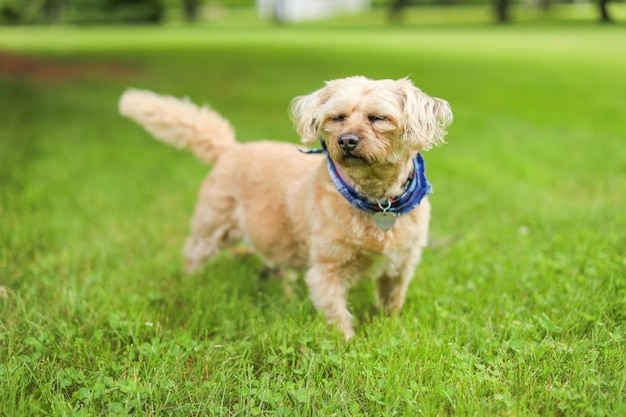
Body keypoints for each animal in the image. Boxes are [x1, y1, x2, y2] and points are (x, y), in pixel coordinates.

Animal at [118, 77, 448, 338]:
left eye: (378, 118)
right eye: (337, 118)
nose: (346, 141)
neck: (376, 201)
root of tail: (230, 149)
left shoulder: (402, 264)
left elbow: (393, 302)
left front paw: (390, 329)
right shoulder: (326, 269)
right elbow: (337, 313)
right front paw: (346, 343)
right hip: (213, 228)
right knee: (192, 255)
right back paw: (191, 284)